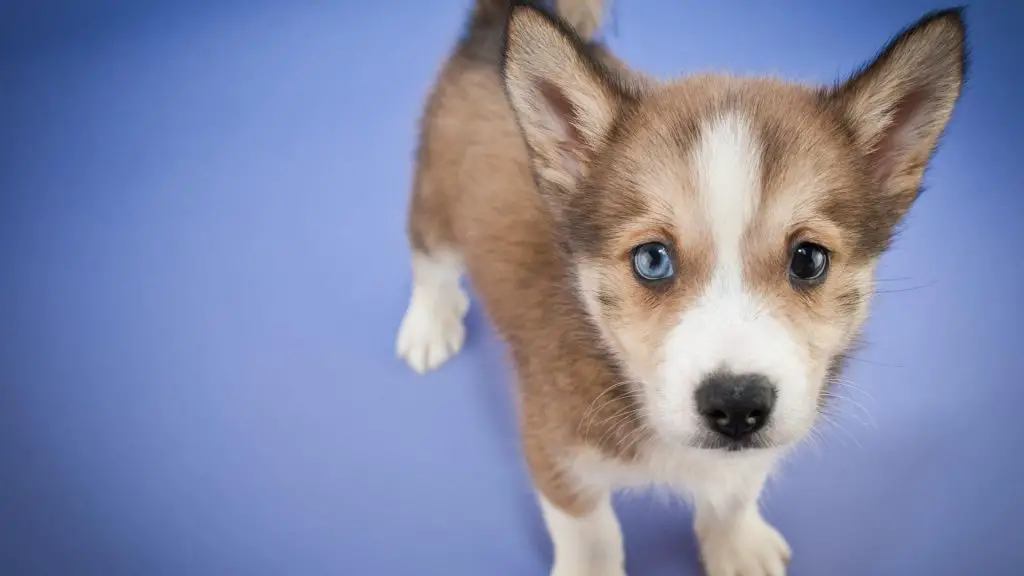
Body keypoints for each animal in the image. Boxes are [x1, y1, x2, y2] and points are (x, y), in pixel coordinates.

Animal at [395, 2, 962, 569]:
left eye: (808, 260)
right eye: (652, 259)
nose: (737, 406)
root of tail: (490, 26)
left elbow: (734, 495)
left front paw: (736, 548)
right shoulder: (555, 453)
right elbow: (591, 532)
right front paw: (591, 567)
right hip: (434, 206)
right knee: (429, 262)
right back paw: (428, 326)